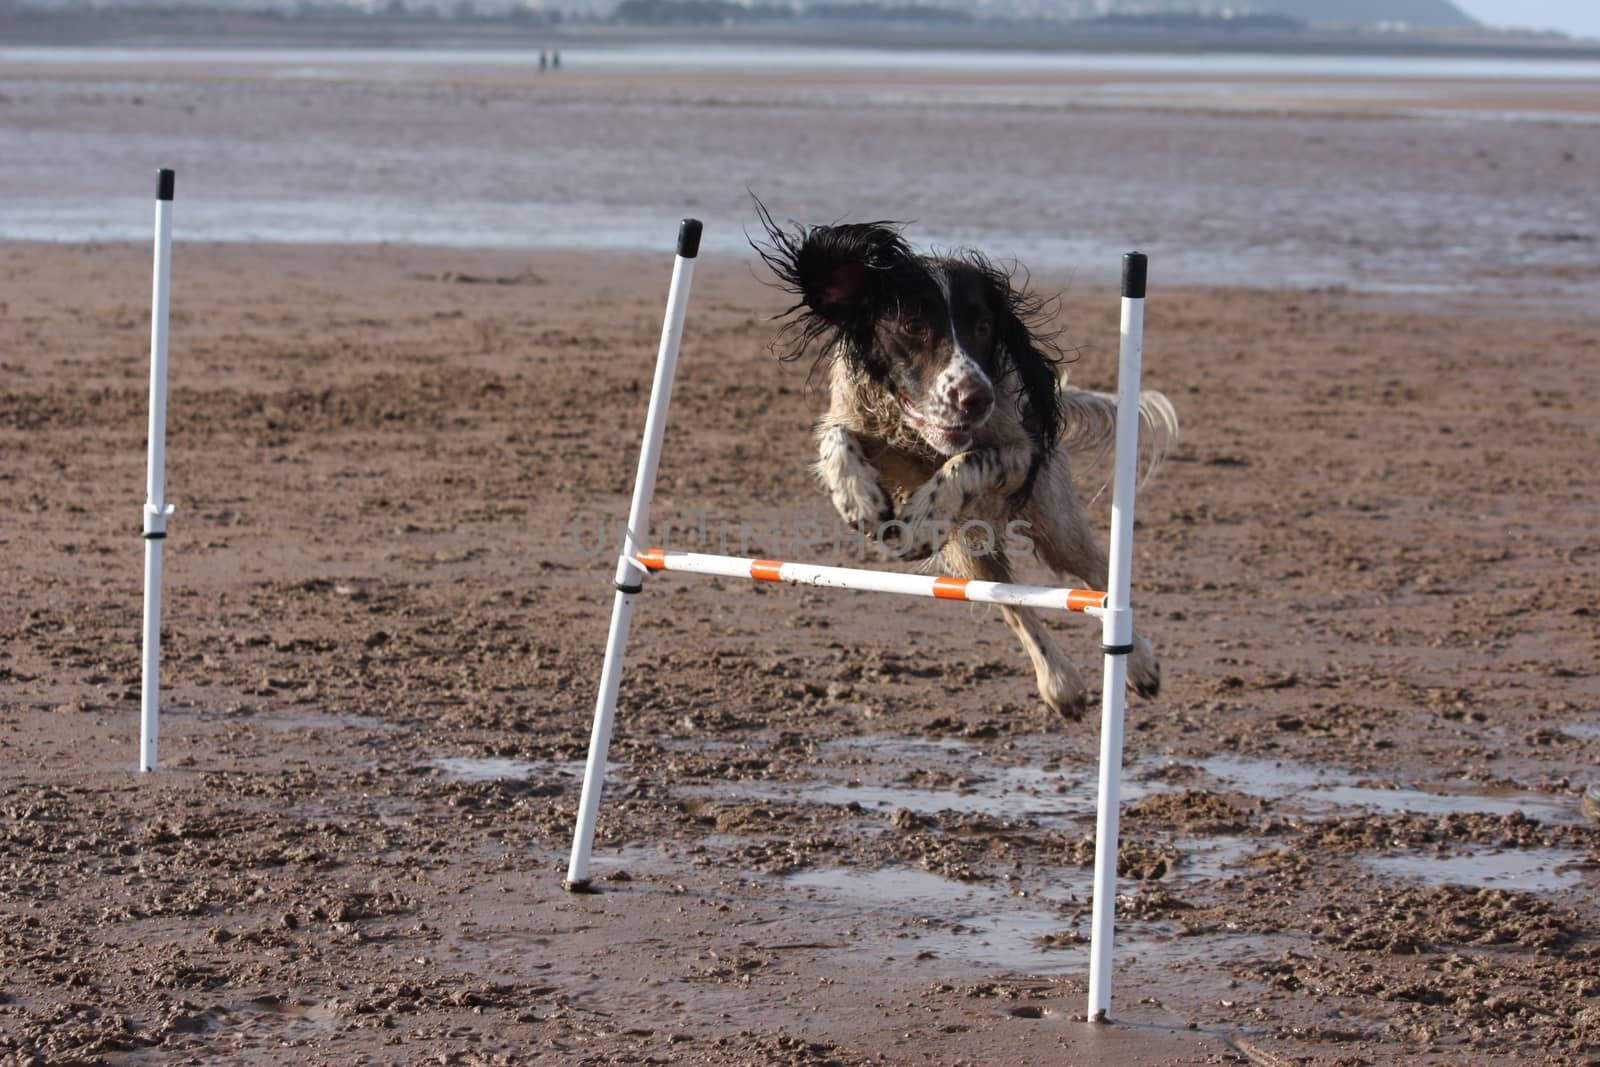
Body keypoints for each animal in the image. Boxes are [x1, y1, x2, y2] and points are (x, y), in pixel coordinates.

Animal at [748, 207, 1177, 723]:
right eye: (913, 325)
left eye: (984, 327)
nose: (976, 399)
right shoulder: (854, 414)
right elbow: (837, 436)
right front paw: (859, 499)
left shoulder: (1019, 452)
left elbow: (968, 461)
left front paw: (922, 517)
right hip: (970, 553)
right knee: (1015, 605)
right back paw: (1061, 684)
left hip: (1055, 523)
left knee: (1098, 581)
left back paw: (1141, 665)